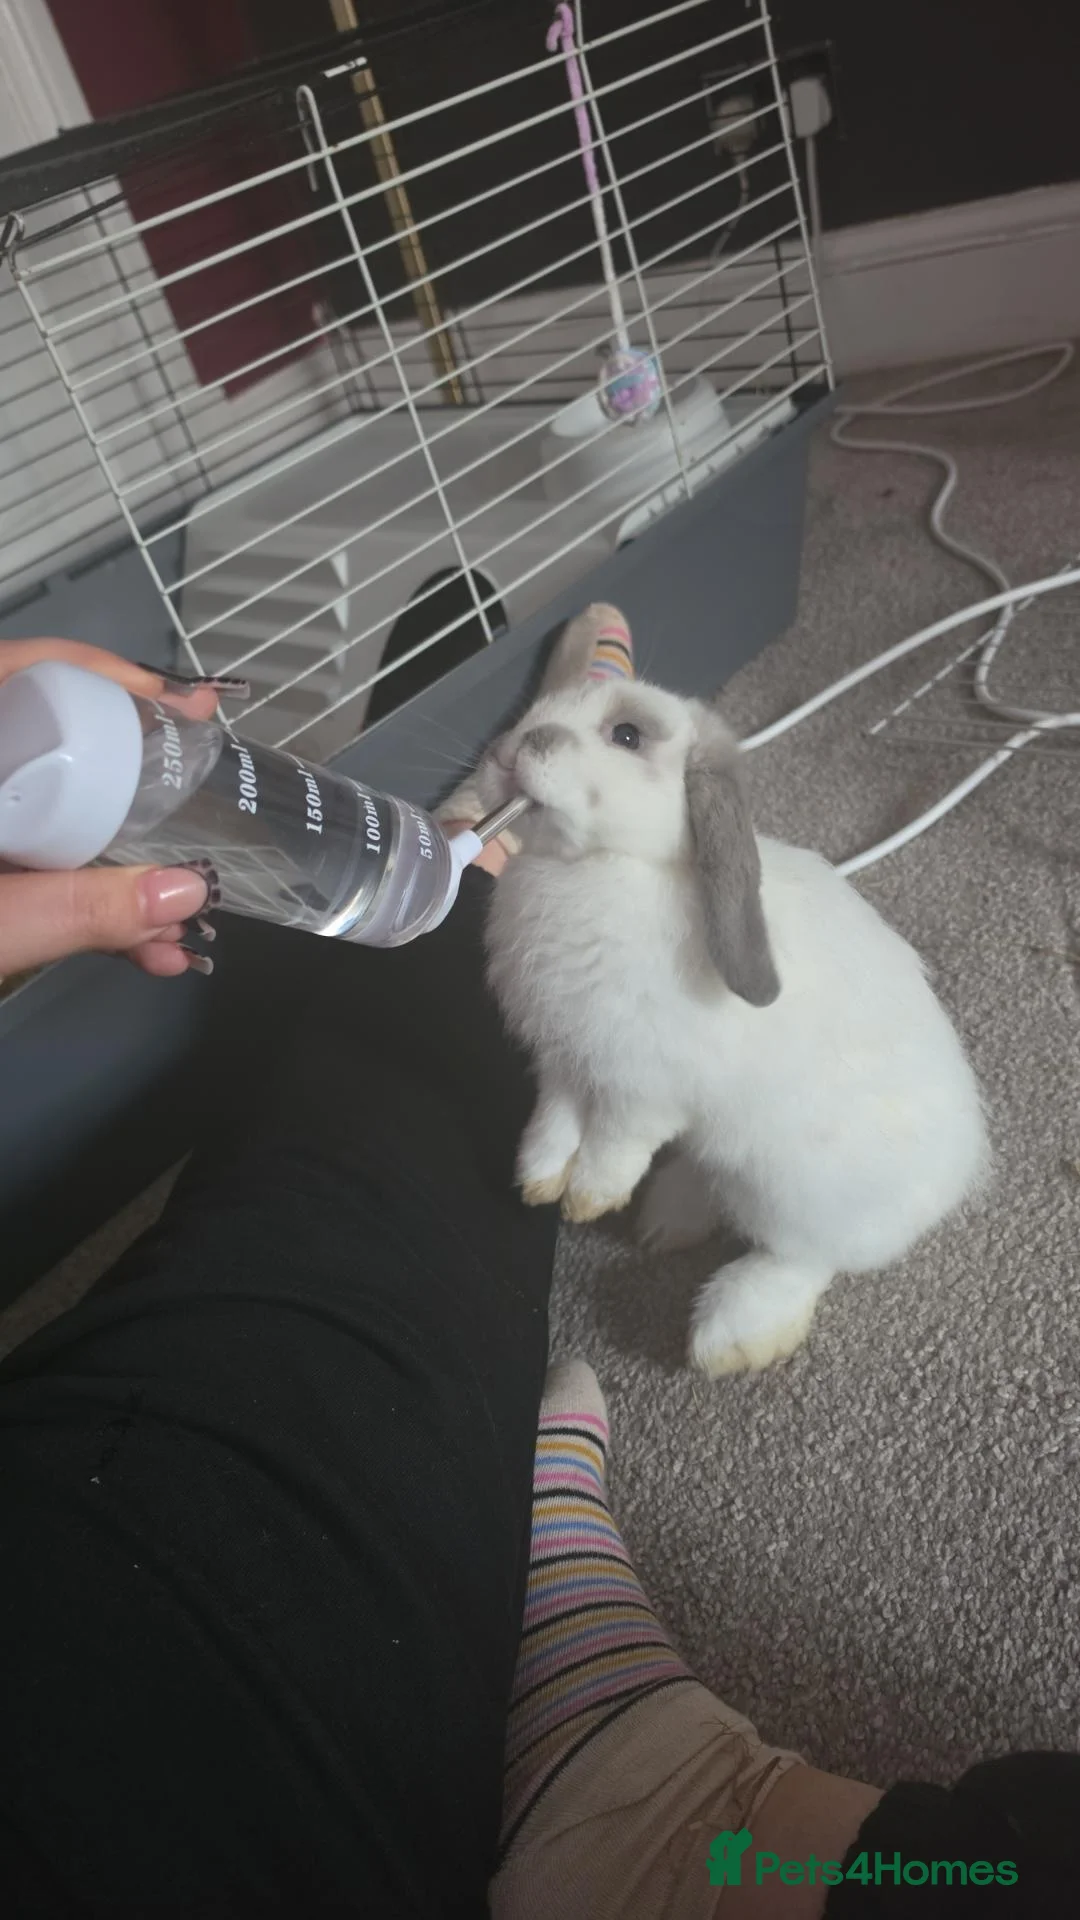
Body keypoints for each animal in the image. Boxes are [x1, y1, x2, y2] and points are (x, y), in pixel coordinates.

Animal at [474, 610, 989, 1377]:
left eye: (627, 736)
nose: (513, 748)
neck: (602, 868)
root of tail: (957, 1172)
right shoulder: (563, 1059)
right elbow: (556, 1120)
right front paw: (538, 1180)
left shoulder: (642, 1087)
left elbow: (613, 1140)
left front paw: (589, 1200)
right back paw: (670, 1220)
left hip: (799, 1192)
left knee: (807, 1256)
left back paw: (732, 1332)